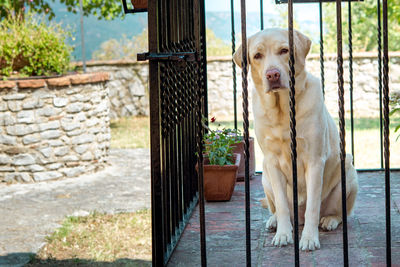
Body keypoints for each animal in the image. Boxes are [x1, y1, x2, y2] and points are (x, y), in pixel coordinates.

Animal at [233, 28, 358, 252]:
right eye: (257, 56)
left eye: (284, 50)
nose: (272, 74)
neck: (282, 110)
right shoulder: (272, 162)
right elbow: (282, 206)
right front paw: (283, 234)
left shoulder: (315, 161)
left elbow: (313, 207)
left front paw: (309, 238)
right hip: (265, 178)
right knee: (278, 209)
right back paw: (274, 221)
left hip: (349, 172)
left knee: (340, 213)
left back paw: (329, 220)